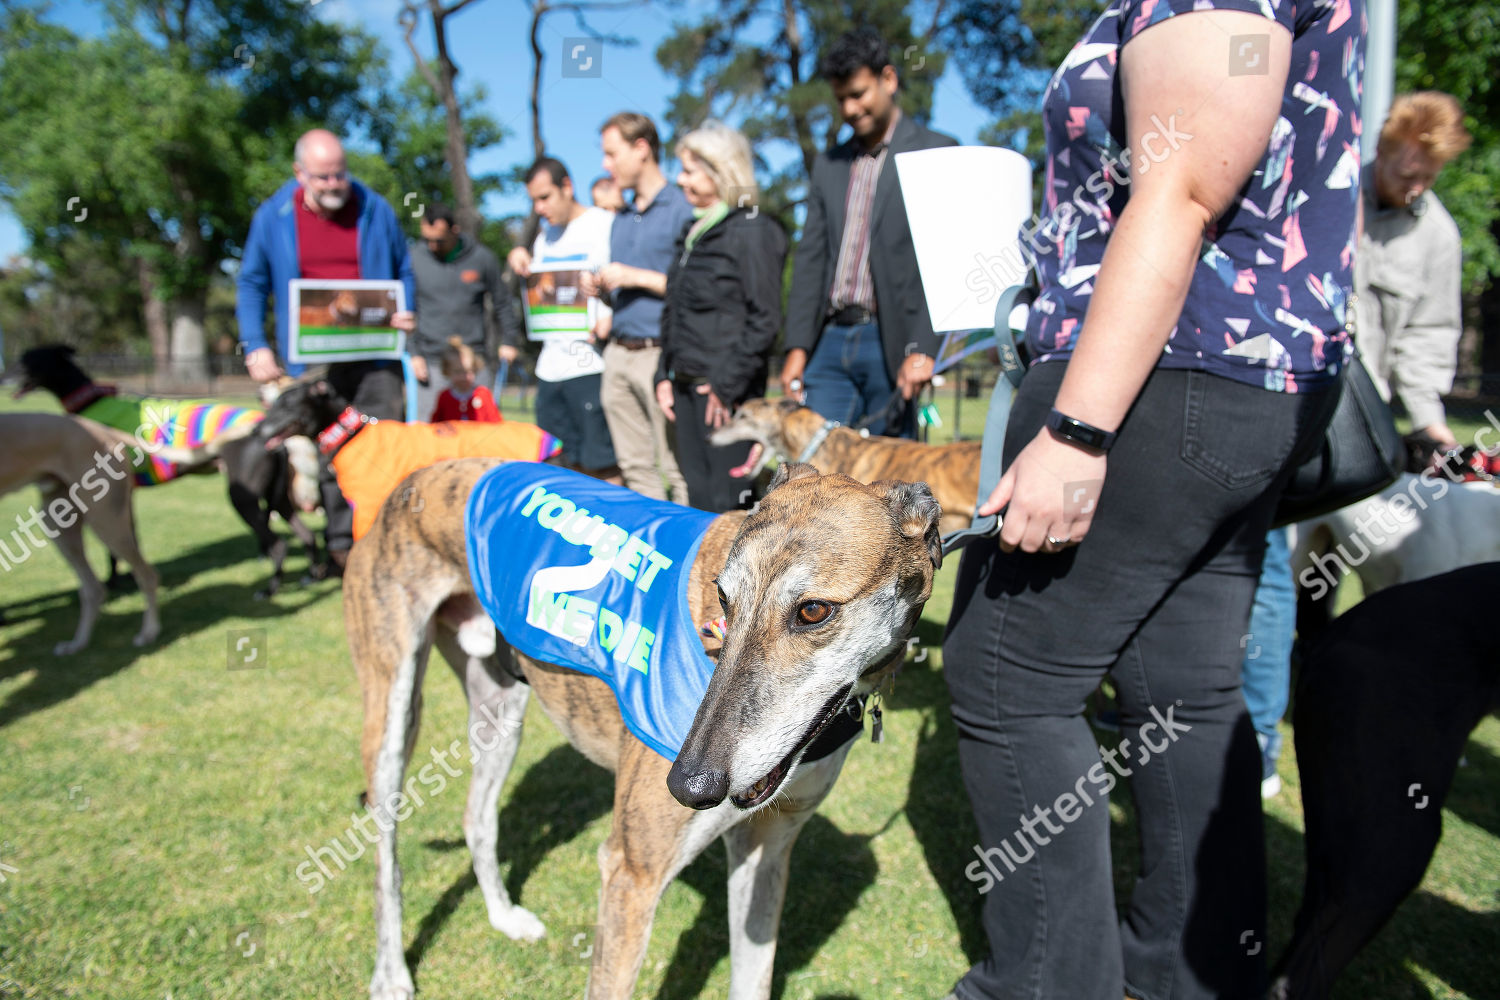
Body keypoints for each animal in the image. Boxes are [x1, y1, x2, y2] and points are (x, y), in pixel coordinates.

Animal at [16, 346, 322, 593]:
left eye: (29, 360)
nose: (10, 375)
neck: (90, 401)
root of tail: (269, 432)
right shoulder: (127, 496)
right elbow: (131, 538)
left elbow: (114, 549)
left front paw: (114, 582)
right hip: (278, 498)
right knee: (305, 535)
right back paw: (311, 575)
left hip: (243, 497)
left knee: (279, 544)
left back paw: (270, 588)